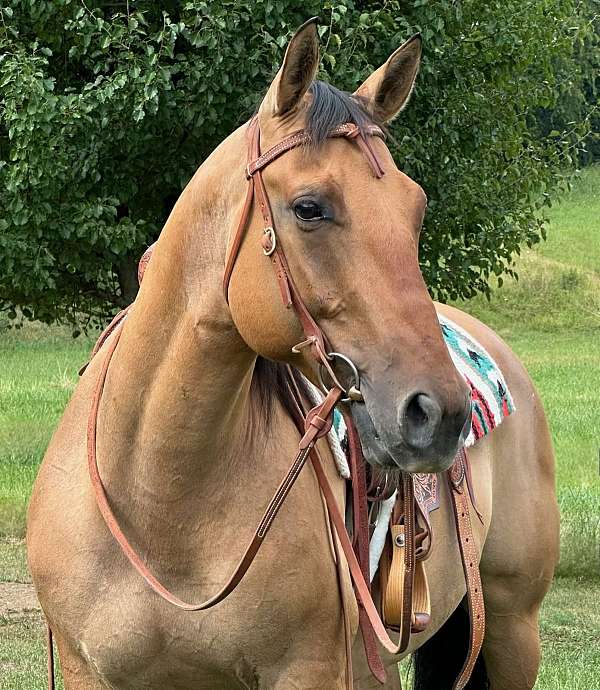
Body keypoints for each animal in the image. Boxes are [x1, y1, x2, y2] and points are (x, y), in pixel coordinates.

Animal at [25, 18, 560, 688]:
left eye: (416, 210)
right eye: (309, 208)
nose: (440, 415)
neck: (160, 501)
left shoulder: (307, 669)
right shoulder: (88, 670)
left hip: (513, 627)